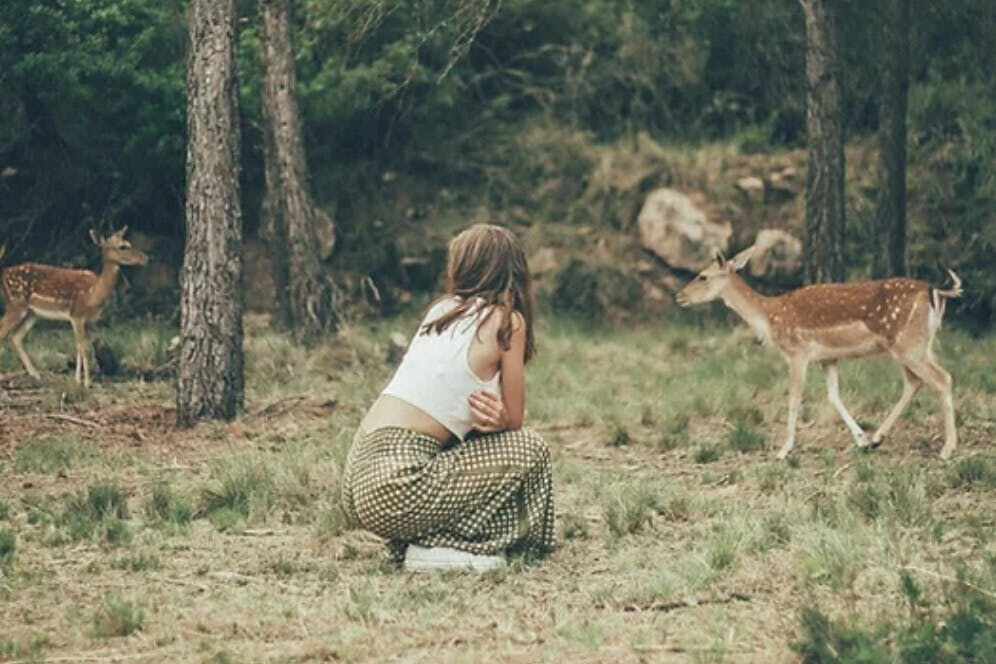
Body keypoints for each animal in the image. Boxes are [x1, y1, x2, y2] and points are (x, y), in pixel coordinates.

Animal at [0, 227, 148, 386]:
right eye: (123, 246)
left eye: (129, 243)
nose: (146, 258)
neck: (94, 293)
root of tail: (4, 273)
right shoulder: (76, 315)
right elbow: (83, 348)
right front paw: (86, 382)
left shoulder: (87, 320)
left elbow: (81, 346)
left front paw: (78, 379)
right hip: (15, 305)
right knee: (4, 331)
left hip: (33, 313)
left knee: (15, 337)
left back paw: (36, 375)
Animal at [672, 246, 960, 460]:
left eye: (703, 276)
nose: (679, 296)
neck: (770, 318)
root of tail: (935, 291)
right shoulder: (827, 357)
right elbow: (833, 395)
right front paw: (861, 439)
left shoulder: (797, 353)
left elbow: (794, 397)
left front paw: (783, 450)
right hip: (916, 344)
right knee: (915, 381)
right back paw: (877, 438)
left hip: (908, 344)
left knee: (942, 378)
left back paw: (947, 449)